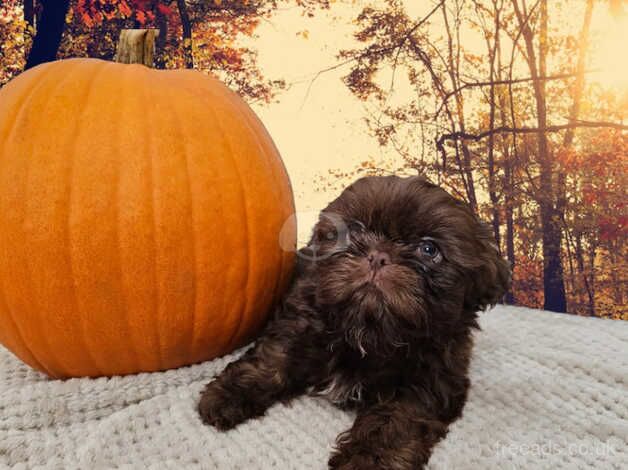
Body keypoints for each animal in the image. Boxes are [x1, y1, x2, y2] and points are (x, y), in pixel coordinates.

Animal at [197, 174, 510, 468]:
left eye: (429, 250)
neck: (368, 330)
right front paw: (229, 393)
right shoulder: (300, 324)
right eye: (356, 230)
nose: (378, 256)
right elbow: (273, 357)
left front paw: (370, 457)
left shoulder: (430, 379)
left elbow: (395, 420)